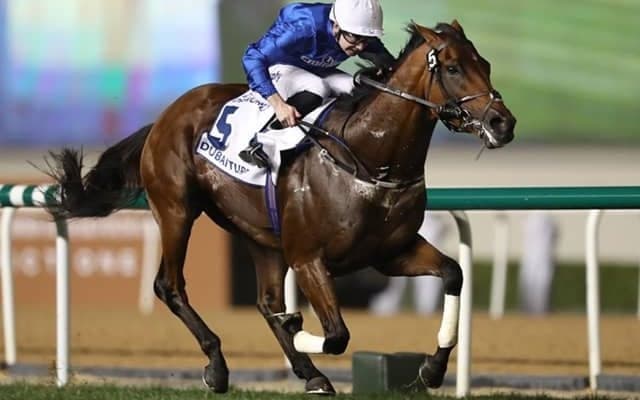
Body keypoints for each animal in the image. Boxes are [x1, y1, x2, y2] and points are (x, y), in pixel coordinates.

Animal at [45, 20, 515, 394]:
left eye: (487, 64)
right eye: (453, 68)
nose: (503, 123)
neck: (366, 157)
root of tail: (166, 115)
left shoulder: (389, 253)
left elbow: (453, 273)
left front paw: (431, 371)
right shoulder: (308, 258)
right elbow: (337, 334)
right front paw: (299, 327)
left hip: (260, 236)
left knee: (266, 301)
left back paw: (311, 374)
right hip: (176, 209)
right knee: (170, 286)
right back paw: (218, 366)